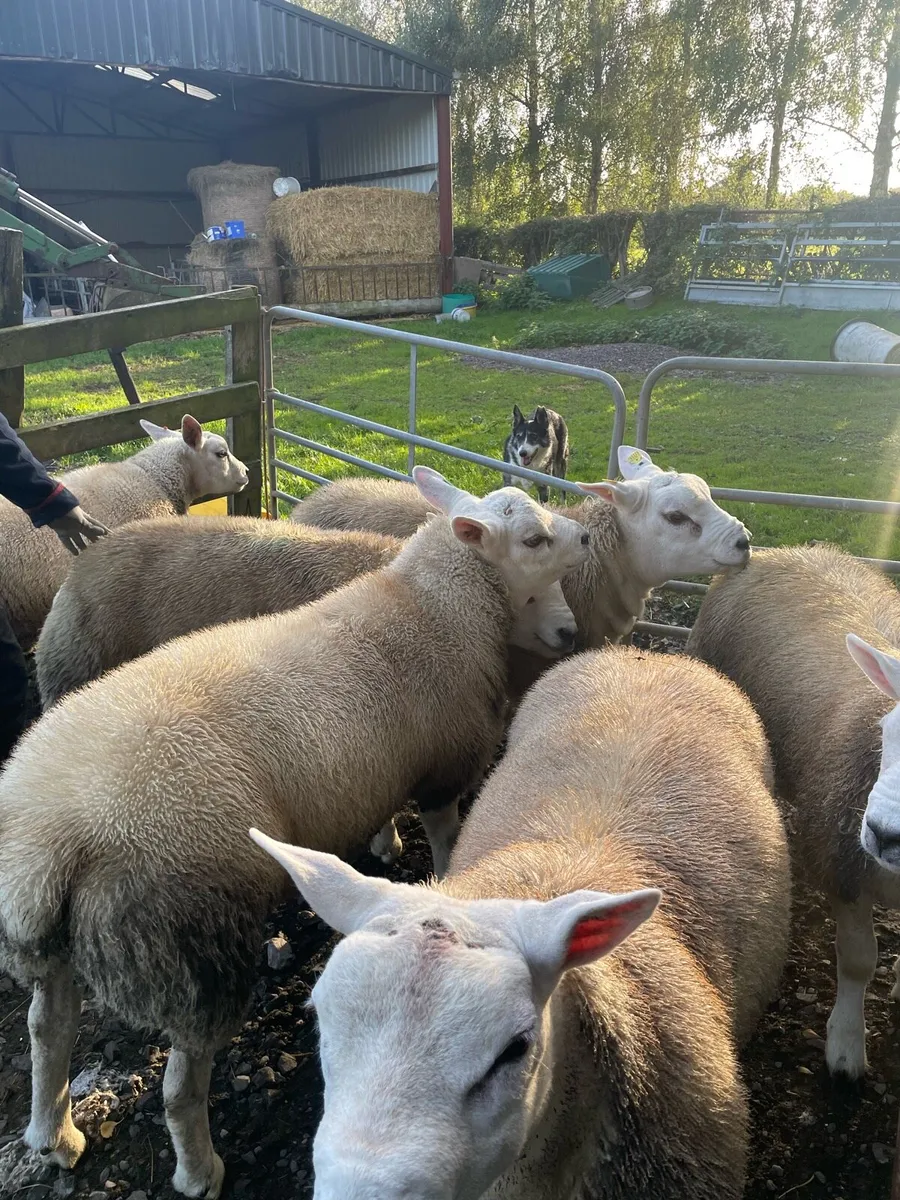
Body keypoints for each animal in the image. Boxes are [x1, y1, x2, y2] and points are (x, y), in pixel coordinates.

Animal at [0, 467, 588, 1200]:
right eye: (535, 538)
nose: (587, 534)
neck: (435, 607)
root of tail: (51, 842)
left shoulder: (378, 765)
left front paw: (385, 846)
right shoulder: (445, 769)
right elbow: (447, 837)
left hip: (58, 948)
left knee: (46, 1029)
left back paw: (52, 1134)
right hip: (188, 943)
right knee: (177, 1086)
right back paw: (199, 1171)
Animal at [687, 542, 900, 1080]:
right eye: (887, 730)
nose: (881, 833)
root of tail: (786, 550)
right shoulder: (842, 865)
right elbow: (858, 961)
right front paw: (845, 1046)